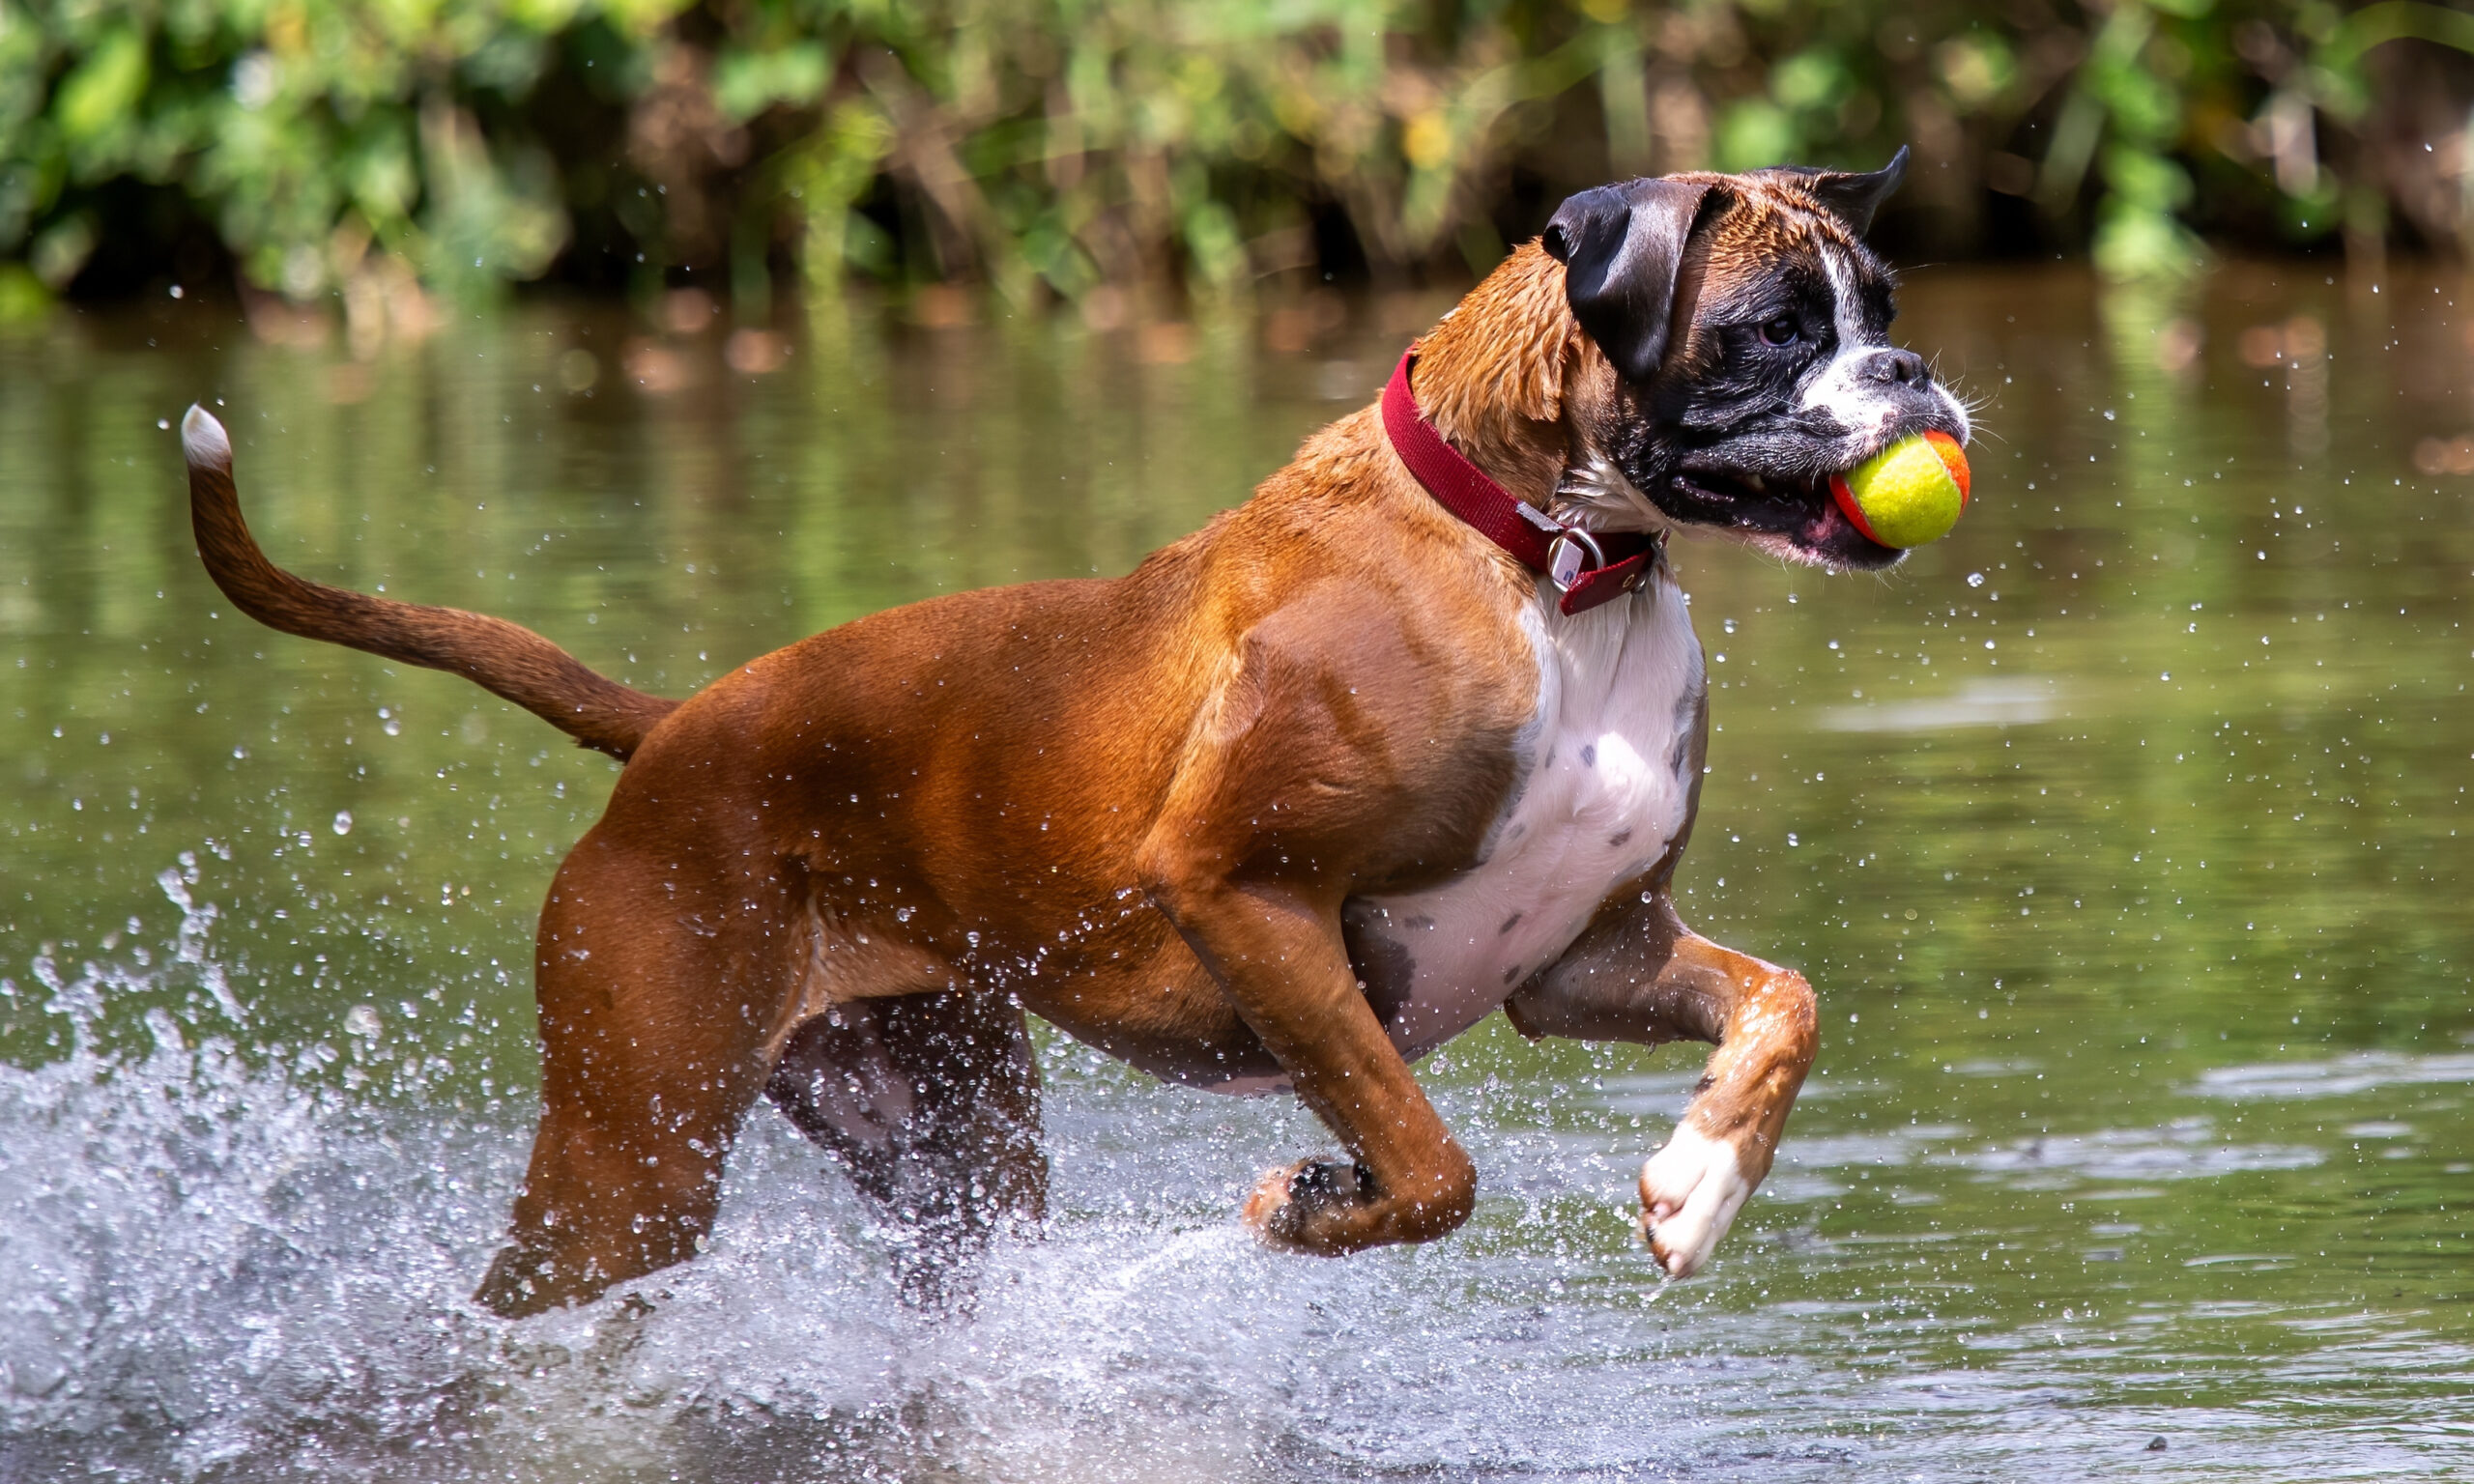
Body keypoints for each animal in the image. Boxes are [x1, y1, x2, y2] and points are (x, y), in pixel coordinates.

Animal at [183, 151, 1969, 1315]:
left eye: (1881, 302)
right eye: (1769, 331)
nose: (1917, 368)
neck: (1548, 560)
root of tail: (680, 729)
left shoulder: (1582, 956)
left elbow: (1786, 1006)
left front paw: (1700, 1186)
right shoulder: (1246, 896)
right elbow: (1425, 1160)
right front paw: (1307, 1206)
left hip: (945, 1150)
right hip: (631, 1162)